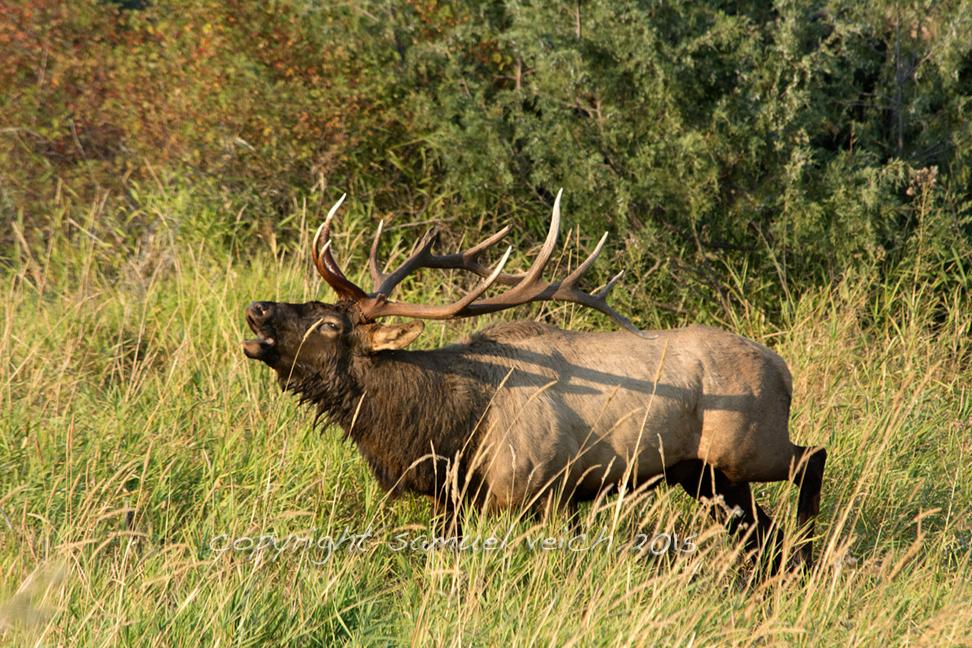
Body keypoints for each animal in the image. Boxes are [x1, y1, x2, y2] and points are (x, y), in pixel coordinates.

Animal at [242, 191, 827, 570]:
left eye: (330, 323)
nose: (257, 309)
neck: (447, 430)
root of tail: (784, 369)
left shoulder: (546, 488)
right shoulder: (453, 501)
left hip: (749, 447)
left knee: (812, 457)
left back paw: (810, 543)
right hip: (703, 474)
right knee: (760, 533)